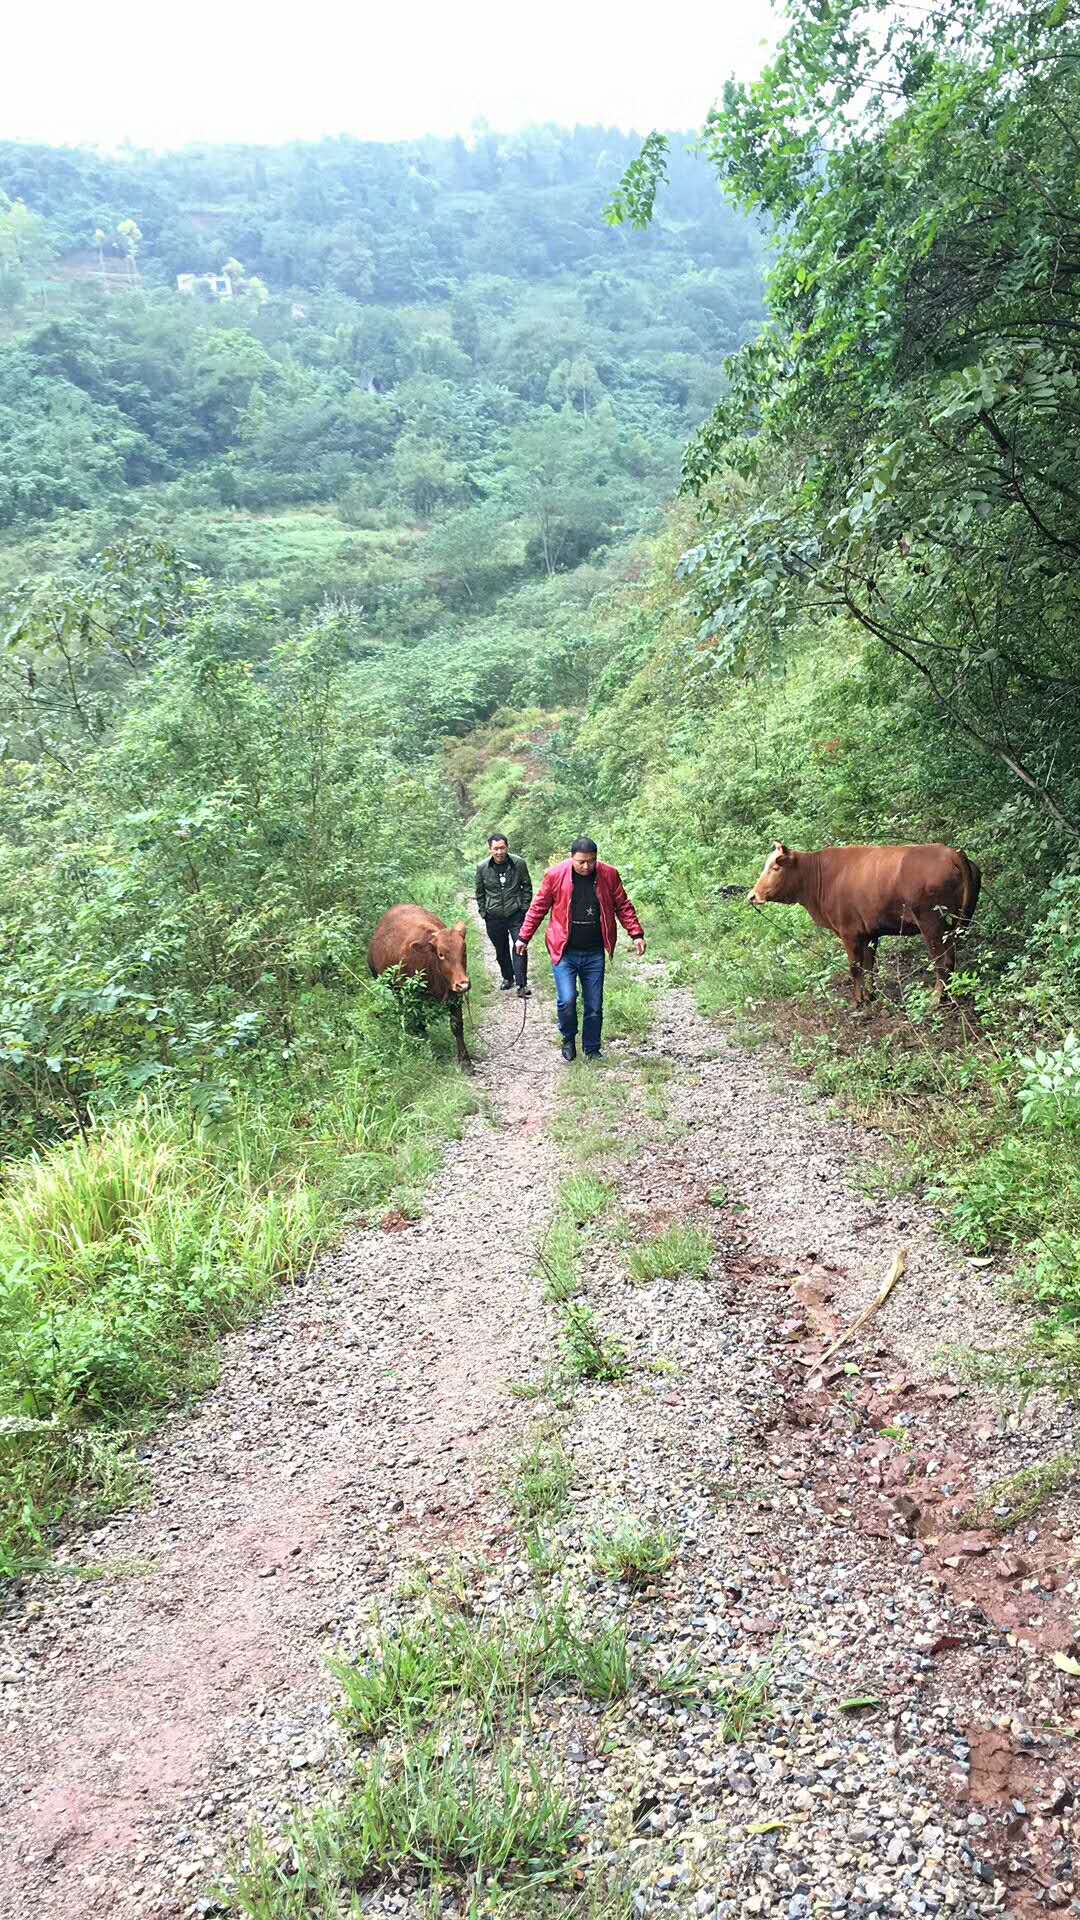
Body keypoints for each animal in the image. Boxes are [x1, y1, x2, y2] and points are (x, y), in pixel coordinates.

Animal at [365, 910, 470, 1075]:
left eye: (464, 951)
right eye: (441, 954)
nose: (463, 984)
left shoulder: (454, 994)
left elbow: (457, 1026)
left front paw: (465, 1061)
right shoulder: (414, 998)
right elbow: (421, 1026)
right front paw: (428, 1054)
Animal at [745, 848, 980, 1013]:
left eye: (775, 868)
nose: (752, 896)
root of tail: (952, 852)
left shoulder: (849, 933)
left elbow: (855, 967)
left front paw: (858, 1001)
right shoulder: (870, 934)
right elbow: (869, 966)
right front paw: (870, 995)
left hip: (932, 924)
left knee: (942, 962)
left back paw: (936, 999)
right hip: (952, 925)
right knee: (950, 959)